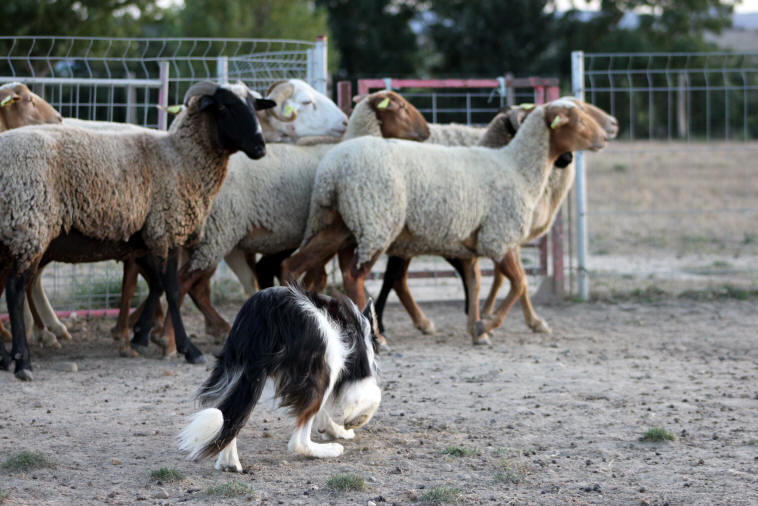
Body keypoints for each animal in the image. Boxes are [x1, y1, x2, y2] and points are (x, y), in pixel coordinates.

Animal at [0, 80, 274, 380]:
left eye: (254, 106)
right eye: (225, 107)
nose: (260, 147)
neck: (180, 158)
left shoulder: (145, 239)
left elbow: (155, 285)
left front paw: (140, 336)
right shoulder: (167, 229)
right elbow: (172, 289)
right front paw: (187, 349)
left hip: (13, 236)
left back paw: (10, 357)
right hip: (30, 227)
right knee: (15, 290)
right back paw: (22, 361)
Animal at [153, 90, 434, 356]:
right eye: (400, 107)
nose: (427, 131)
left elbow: (318, 276)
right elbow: (320, 276)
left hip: (211, 239)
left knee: (196, 286)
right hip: (219, 234)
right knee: (186, 282)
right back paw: (171, 341)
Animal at [282, 98, 616, 344]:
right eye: (576, 119)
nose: (604, 136)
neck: (519, 168)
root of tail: (332, 170)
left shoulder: (475, 243)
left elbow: (478, 282)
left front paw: (477, 328)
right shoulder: (499, 236)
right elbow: (518, 283)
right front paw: (487, 325)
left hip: (339, 223)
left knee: (294, 265)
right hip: (377, 220)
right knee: (354, 277)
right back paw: (377, 336)